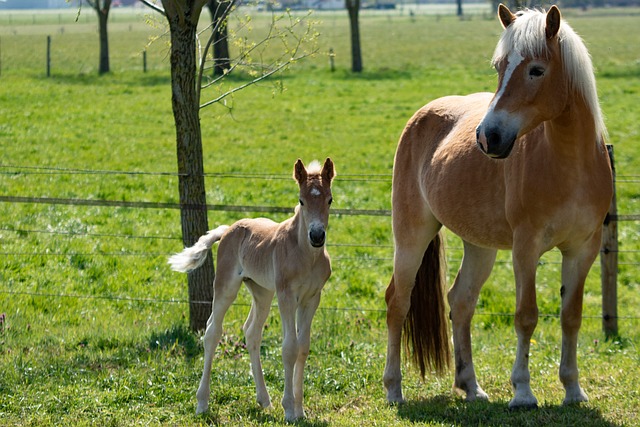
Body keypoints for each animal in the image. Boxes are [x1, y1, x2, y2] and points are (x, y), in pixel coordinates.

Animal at [382, 5, 612, 410]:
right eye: (499, 66)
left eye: (536, 69)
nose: (488, 137)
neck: (571, 165)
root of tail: (421, 116)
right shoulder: (526, 247)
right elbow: (526, 316)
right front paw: (522, 391)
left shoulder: (583, 249)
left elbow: (571, 316)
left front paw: (573, 389)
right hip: (411, 236)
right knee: (398, 301)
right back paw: (394, 389)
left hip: (479, 246)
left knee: (461, 301)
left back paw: (471, 386)